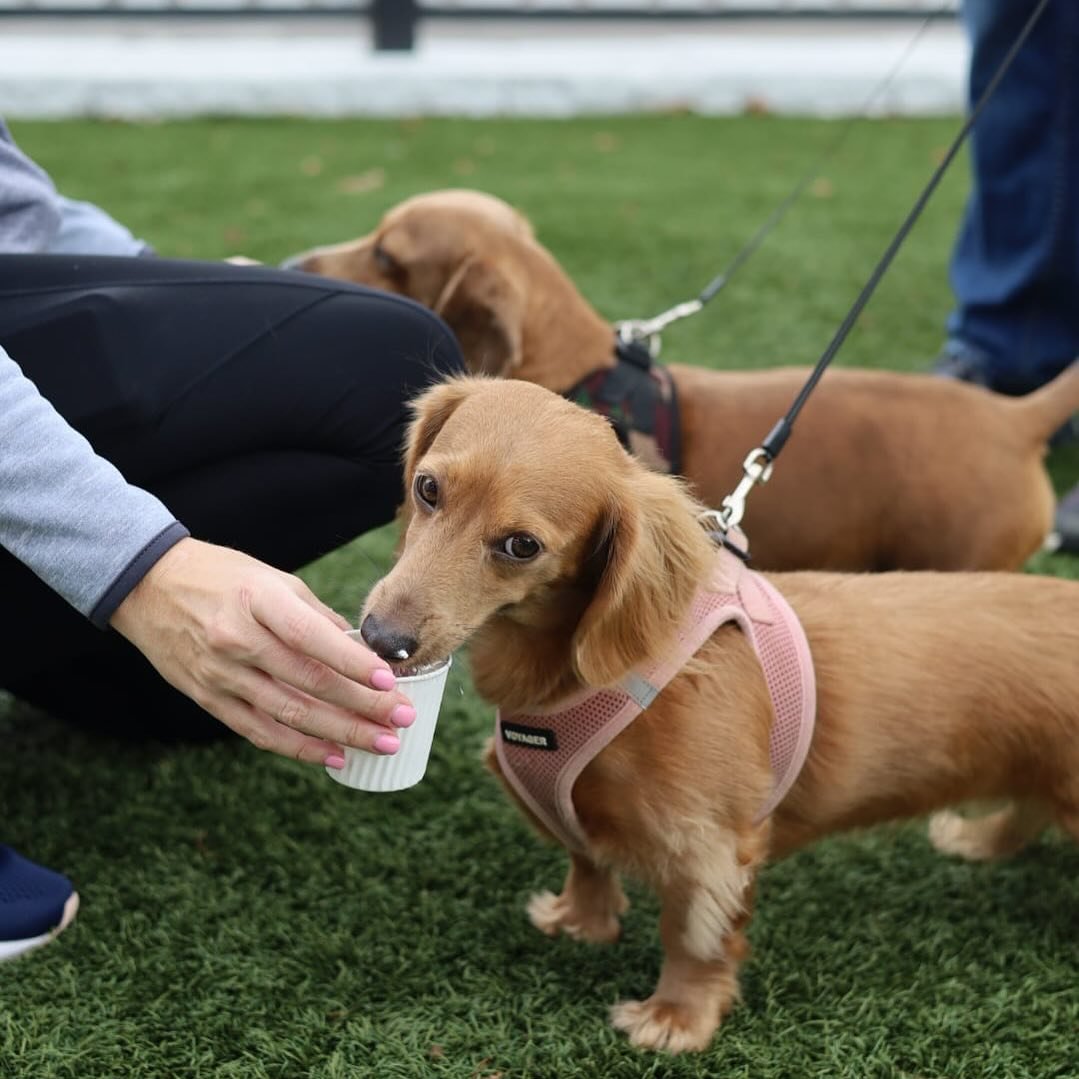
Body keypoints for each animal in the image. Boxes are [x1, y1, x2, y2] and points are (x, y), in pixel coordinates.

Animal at [360, 377, 1079, 1053]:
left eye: (520, 545)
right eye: (427, 488)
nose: (380, 638)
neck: (568, 677)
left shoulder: (705, 848)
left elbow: (691, 936)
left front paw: (676, 1017)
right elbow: (586, 860)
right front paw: (580, 921)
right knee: (1026, 809)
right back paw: (978, 840)